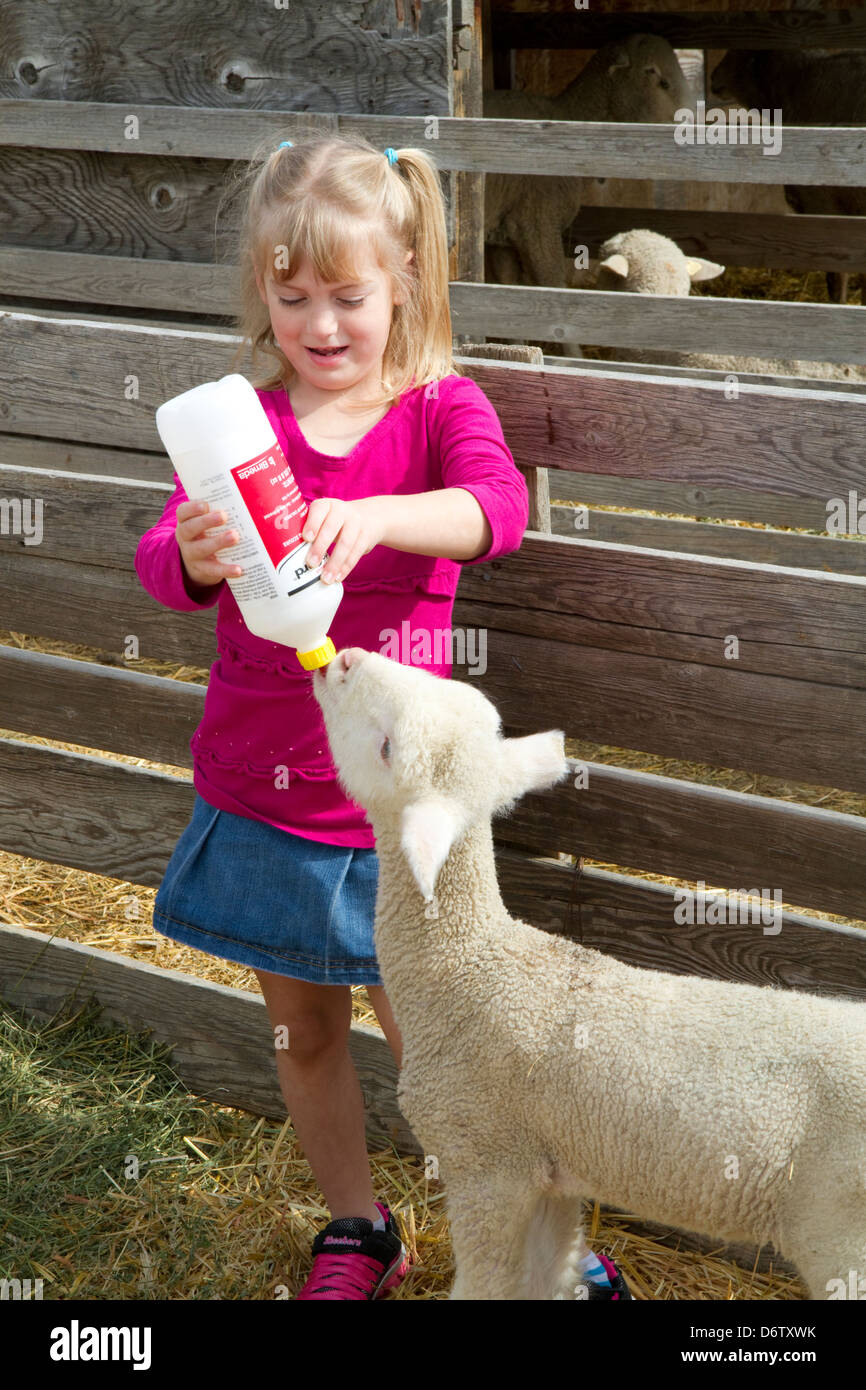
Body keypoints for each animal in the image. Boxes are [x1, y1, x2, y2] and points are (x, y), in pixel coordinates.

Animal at [313, 646, 866, 1300]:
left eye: (387, 746)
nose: (344, 659)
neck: (472, 971)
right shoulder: (549, 1176)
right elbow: (544, 1276)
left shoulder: (488, 1165)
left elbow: (486, 1284)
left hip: (842, 1233)